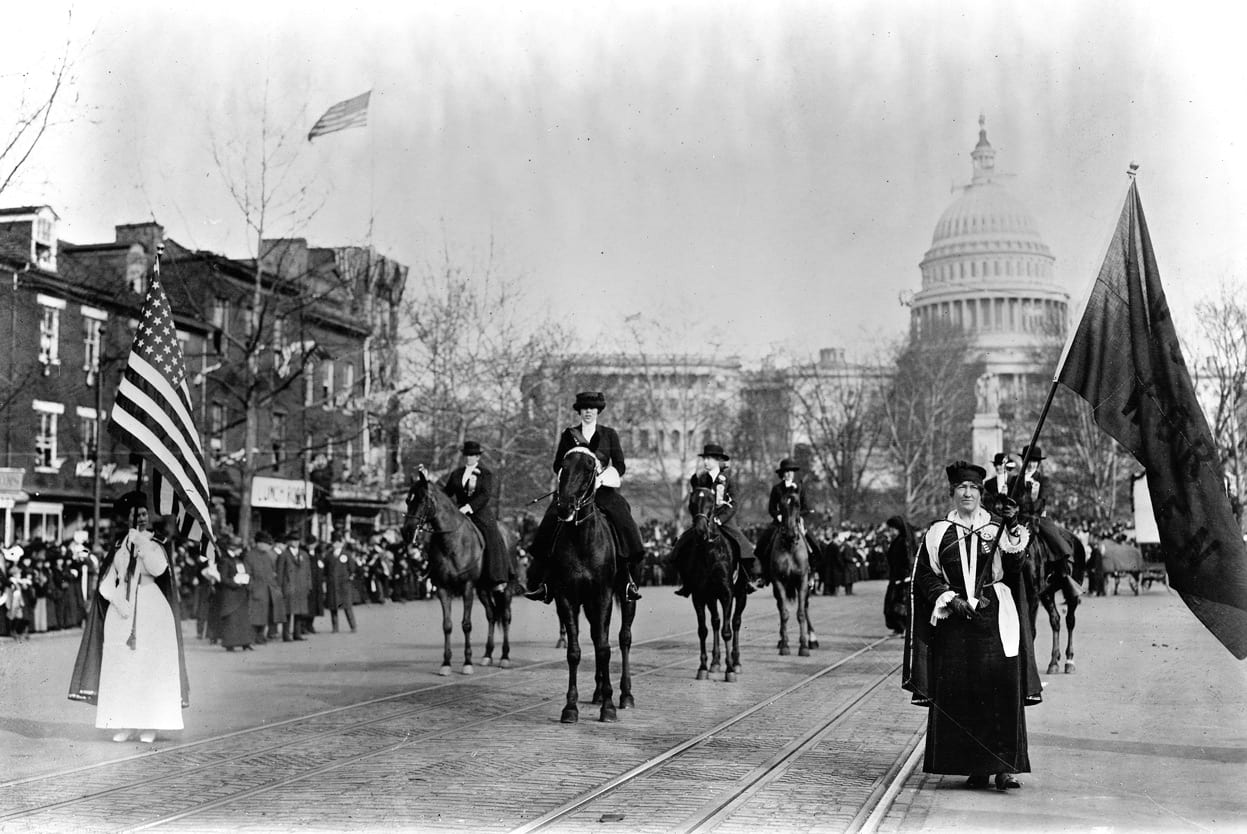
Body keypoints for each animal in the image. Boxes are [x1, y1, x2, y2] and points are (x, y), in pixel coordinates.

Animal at [404, 468, 506, 678]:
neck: (452, 541)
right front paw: (446, 663)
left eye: (422, 500)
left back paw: (505, 657)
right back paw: (487, 655)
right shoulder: (443, 588)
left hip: (504, 585)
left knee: (506, 615)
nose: (406, 531)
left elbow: (466, 624)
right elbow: (447, 625)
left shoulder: (467, 587)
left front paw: (467, 663)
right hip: (483, 589)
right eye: (407, 500)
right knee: (492, 614)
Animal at [551, 441, 638, 723]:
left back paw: (625, 695)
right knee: (597, 634)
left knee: (623, 638)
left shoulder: (603, 595)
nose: (564, 507)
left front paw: (609, 706)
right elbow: (575, 651)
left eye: (590, 467)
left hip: (625, 596)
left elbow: (603, 648)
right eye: (563, 465)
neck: (582, 539)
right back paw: (599, 691)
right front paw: (570, 707)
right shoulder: (567, 598)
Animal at [683, 483, 748, 678]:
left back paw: (736, 662)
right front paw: (703, 667)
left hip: (741, 595)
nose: (700, 530)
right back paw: (715, 662)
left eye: (711, 502)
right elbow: (704, 630)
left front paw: (730, 670)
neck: (711, 552)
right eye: (691, 502)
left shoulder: (727, 594)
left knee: (735, 623)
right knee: (716, 623)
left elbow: (727, 631)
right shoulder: (701, 595)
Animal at [768, 488, 818, 658]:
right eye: (781, 504)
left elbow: (801, 613)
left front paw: (804, 646)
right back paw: (781, 640)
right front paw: (785, 645)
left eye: (797, 504)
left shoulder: (802, 581)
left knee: (806, 607)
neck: (789, 546)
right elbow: (784, 613)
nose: (790, 534)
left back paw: (812, 639)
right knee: (780, 607)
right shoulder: (778, 581)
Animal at [1022, 516, 1082, 673]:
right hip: (1047, 594)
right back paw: (1054, 661)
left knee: (1070, 620)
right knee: (1055, 620)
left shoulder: (1033, 595)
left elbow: (1030, 630)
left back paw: (1069, 661)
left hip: (1071, 593)